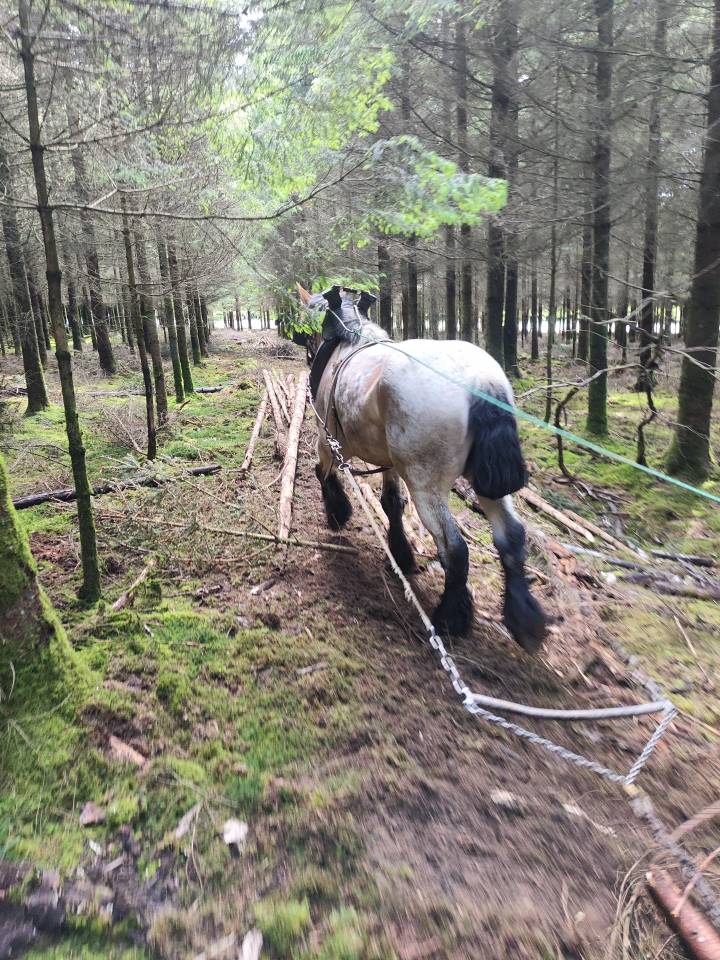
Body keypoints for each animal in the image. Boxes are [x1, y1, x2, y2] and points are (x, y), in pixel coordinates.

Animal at [294, 283, 547, 653]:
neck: (348, 340)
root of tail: (481, 383)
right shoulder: (390, 461)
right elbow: (391, 504)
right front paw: (401, 553)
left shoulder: (327, 439)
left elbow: (323, 473)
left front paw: (337, 513)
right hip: (484, 482)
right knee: (511, 536)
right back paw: (524, 618)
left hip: (426, 483)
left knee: (454, 549)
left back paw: (449, 617)